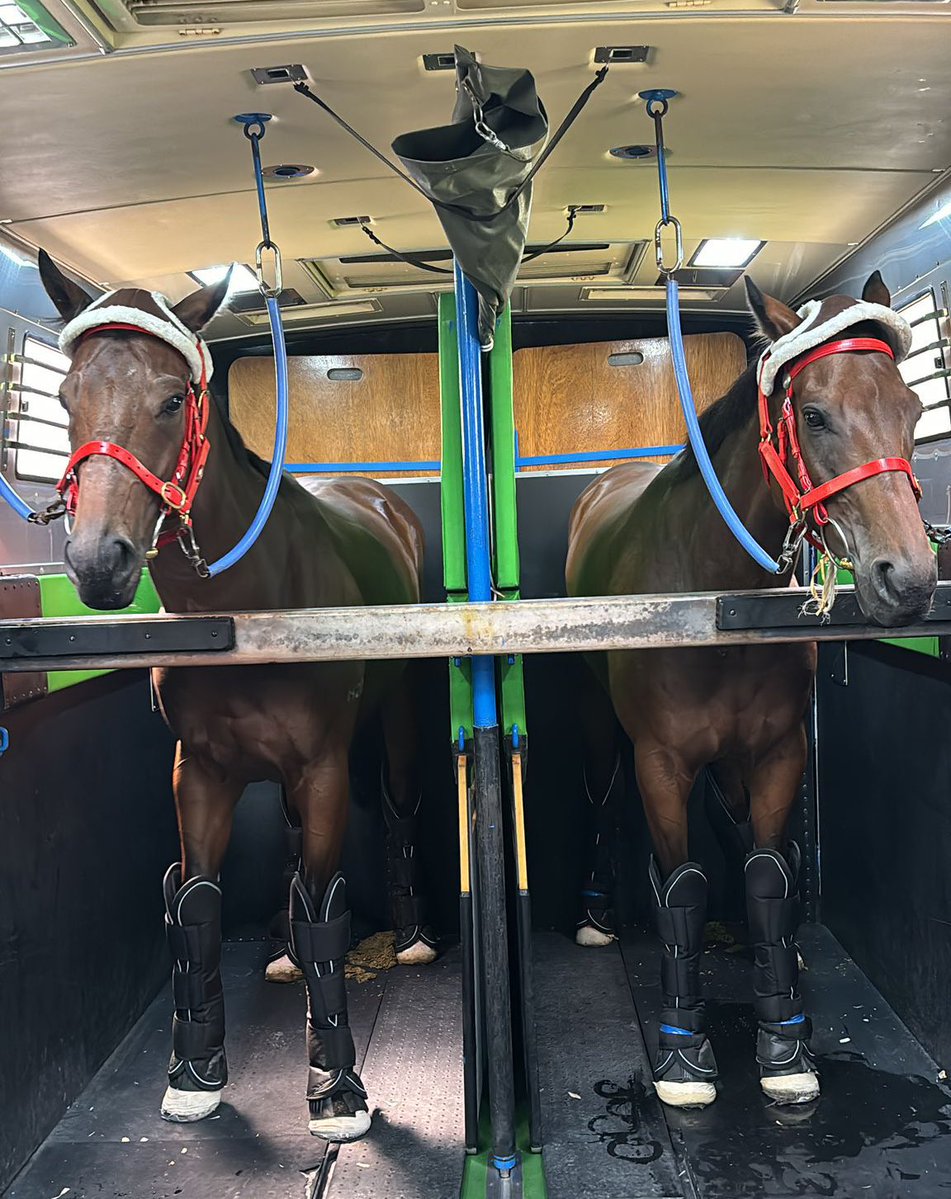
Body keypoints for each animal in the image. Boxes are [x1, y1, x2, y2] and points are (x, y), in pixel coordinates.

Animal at [37, 252, 438, 1141]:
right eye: (67, 395)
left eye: (171, 398)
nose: (99, 561)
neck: (251, 604)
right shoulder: (201, 773)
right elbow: (197, 908)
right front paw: (196, 1071)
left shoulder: (323, 768)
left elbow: (326, 906)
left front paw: (336, 1084)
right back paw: (284, 950)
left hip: (393, 726)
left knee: (398, 810)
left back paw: (411, 934)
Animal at [563, 272, 935, 1103]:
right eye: (814, 413)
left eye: (911, 408)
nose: (908, 579)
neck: (711, 588)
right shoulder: (660, 763)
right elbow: (680, 886)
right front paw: (681, 1049)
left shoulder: (776, 752)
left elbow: (767, 870)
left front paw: (781, 1037)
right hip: (601, 725)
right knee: (600, 796)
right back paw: (597, 911)